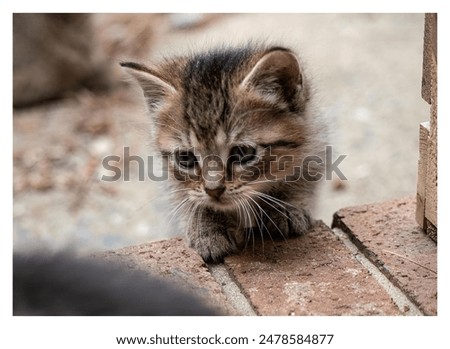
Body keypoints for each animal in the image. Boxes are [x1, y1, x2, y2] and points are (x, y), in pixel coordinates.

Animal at [123, 43, 326, 260]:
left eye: (243, 152)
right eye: (185, 158)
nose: (213, 191)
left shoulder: (316, 143)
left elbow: (303, 175)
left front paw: (284, 206)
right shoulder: (172, 180)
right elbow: (186, 196)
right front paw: (206, 227)